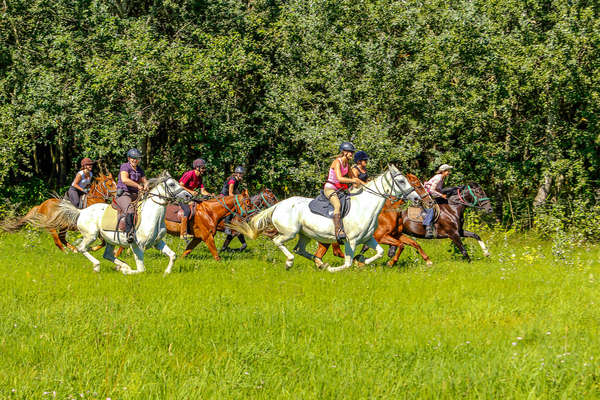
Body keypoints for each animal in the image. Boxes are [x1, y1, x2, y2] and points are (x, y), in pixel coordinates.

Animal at [31, 172, 192, 276]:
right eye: (171, 184)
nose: (188, 196)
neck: (153, 216)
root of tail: (81, 211)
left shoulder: (158, 242)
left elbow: (173, 256)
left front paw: (167, 272)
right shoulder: (137, 246)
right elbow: (141, 269)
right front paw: (128, 271)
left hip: (109, 239)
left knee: (107, 254)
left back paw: (121, 266)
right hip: (91, 235)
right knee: (82, 248)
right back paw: (98, 266)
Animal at [227, 163, 420, 272]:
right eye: (401, 181)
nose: (417, 199)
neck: (366, 206)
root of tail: (278, 205)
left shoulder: (369, 238)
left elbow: (379, 253)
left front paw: (362, 260)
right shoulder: (351, 241)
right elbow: (347, 263)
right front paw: (336, 268)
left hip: (304, 234)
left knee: (300, 249)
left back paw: (320, 264)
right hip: (290, 232)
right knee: (279, 242)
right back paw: (291, 263)